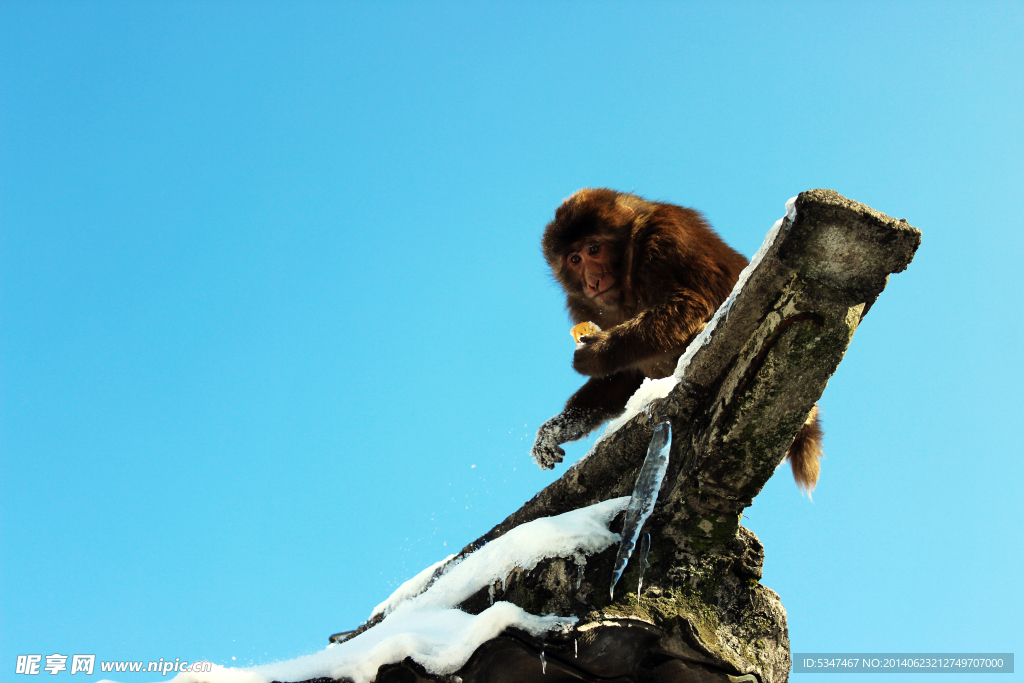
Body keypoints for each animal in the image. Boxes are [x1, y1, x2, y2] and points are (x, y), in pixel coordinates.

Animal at [532, 188, 819, 491]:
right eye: (574, 259)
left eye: (594, 249)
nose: (592, 280)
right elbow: (625, 376)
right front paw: (555, 430)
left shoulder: (664, 240)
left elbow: (690, 305)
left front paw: (597, 352)